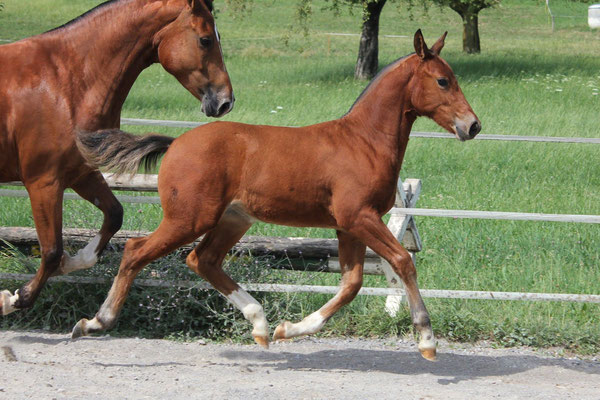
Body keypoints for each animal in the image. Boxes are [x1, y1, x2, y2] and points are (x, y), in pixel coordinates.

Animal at [0, 0, 233, 316]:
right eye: (206, 39)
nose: (225, 102)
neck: (64, 82)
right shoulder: (43, 182)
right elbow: (51, 251)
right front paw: (13, 299)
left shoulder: (81, 174)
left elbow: (114, 216)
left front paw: (73, 263)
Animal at [74, 29, 478, 360]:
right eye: (443, 80)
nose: (473, 126)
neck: (363, 141)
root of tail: (176, 144)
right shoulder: (358, 217)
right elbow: (402, 261)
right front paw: (427, 340)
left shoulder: (347, 226)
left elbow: (351, 284)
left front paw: (291, 329)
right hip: (189, 219)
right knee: (135, 251)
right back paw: (95, 322)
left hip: (233, 219)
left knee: (202, 260)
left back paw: (261, 325)